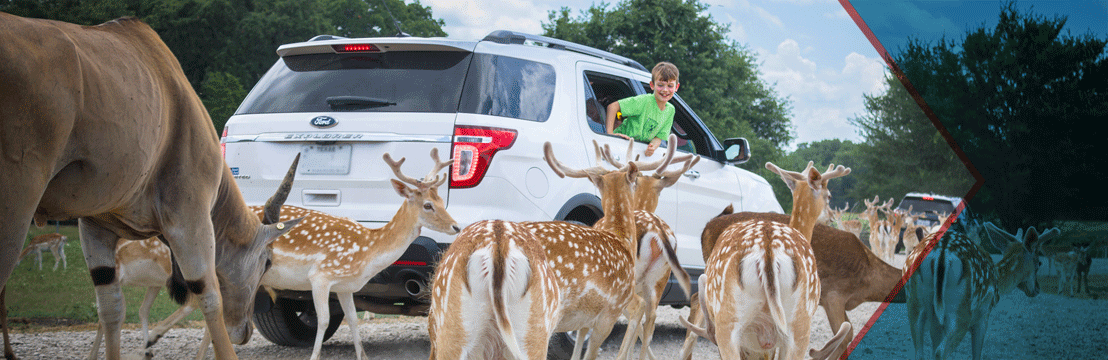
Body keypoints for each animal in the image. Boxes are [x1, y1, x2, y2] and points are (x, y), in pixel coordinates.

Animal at [253, 148, 456, 358]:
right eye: (428, 205)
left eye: (442, 201)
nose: (456, 226)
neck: (366, 253)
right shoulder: (320, 275)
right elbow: (324, 320)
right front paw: (314, 356)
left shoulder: (345, 286)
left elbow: (352, 318)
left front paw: (362, 355)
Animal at [904, 221, 1059, 358]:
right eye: (1039, 263)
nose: (1037, 289)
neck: (998, 280)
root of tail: (941, 254)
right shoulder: (984, 314)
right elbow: (977, 354)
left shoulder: (936, 321)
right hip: (960, 310)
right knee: (940, 352)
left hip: (914, 304)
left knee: (919, 352)